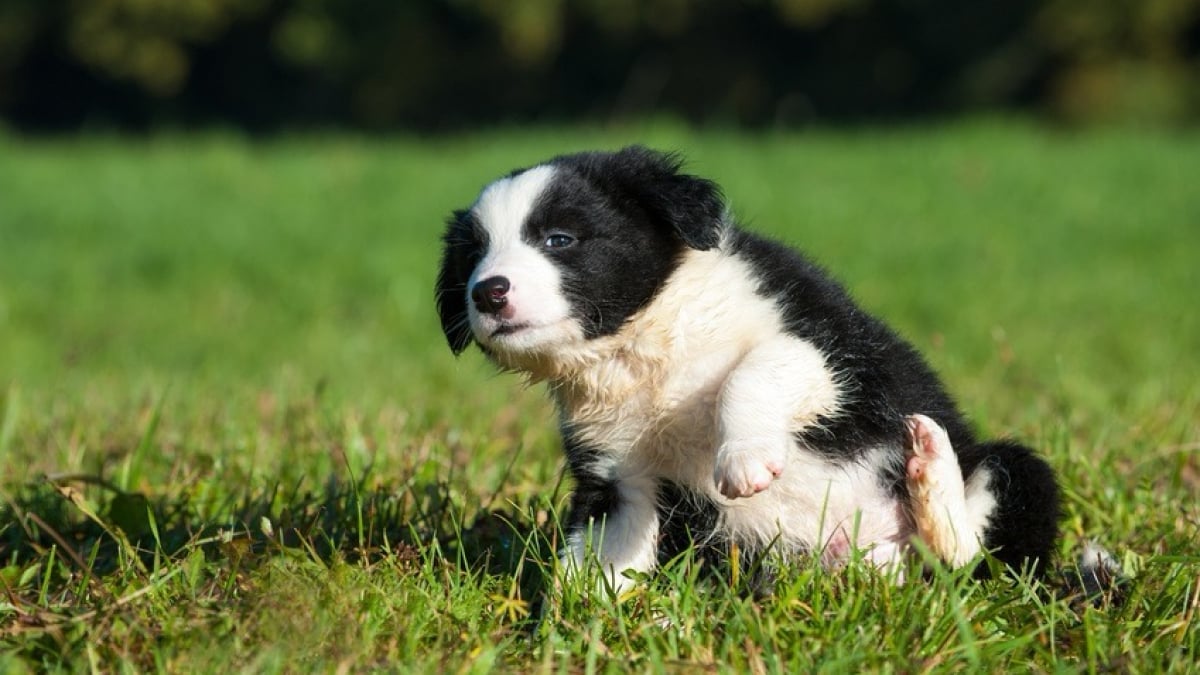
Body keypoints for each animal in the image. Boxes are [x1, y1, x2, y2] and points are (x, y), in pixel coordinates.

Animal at [436, 147, 1056, 588]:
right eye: (473, 257)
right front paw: (563, 632)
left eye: (559, 239)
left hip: (1016, 473)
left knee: (967, 559)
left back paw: (930, 467)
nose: (487, 292)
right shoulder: (621, 479)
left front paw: (746, 460)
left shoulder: (825, 348)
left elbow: (754, 369)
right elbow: (594, 560)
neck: (641, 350)